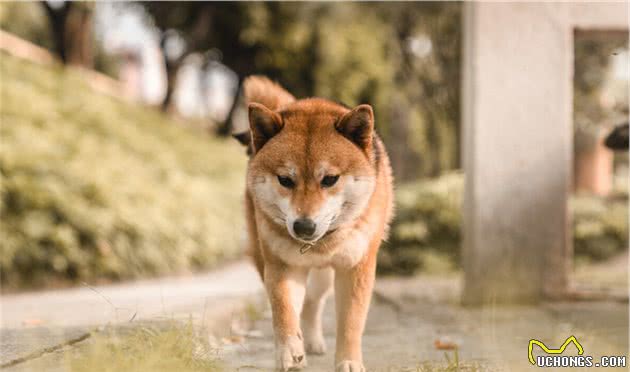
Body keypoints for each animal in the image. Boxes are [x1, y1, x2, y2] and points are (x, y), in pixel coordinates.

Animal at [236, 76, 396, 372]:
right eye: (285, 180)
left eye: (330, 179)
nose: (304, 227)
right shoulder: (281, 265)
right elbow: (284, 311)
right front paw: (289, 352)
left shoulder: (356, 267)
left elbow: (351, 322)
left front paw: (348, 361)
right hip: (267, 259)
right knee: (304, 304)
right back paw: (303, 345)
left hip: (324, 277)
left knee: (313, 303)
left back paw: (312, 342)